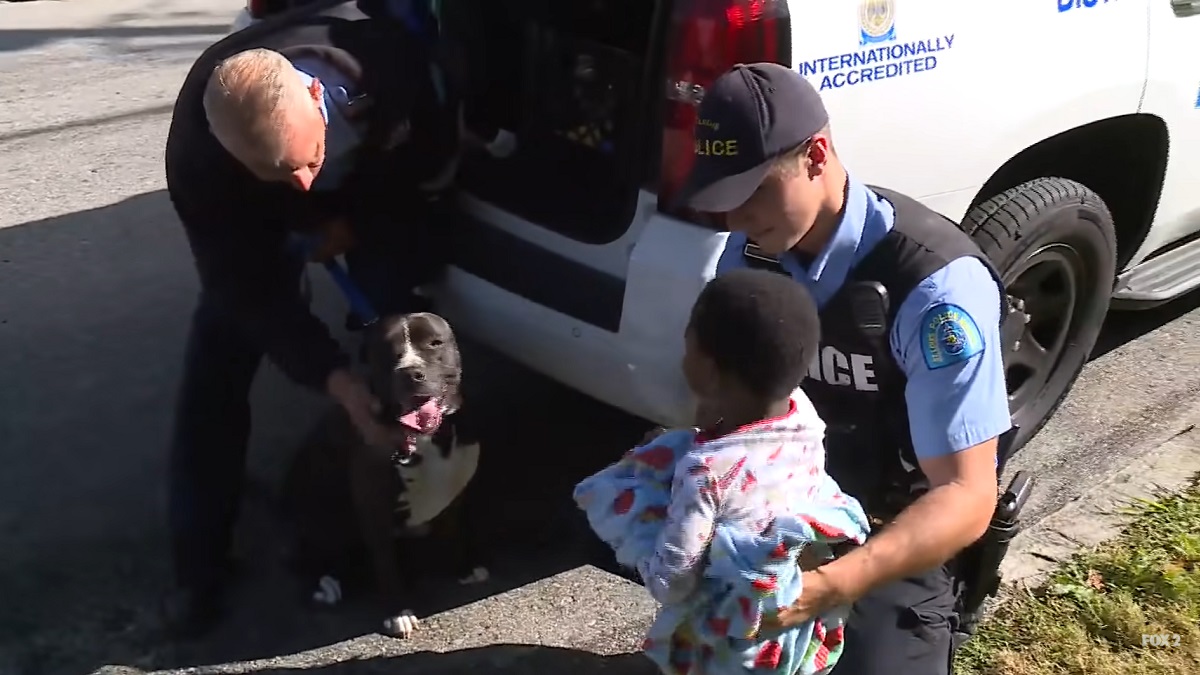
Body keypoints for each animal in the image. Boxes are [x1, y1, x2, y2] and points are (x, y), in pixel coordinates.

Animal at [280, 309, 487, 634]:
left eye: (434, 342)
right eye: (386, 351)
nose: (410, 372)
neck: (430, 438)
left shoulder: (457, 492)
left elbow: (454, 530)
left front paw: (464, 566)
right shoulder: (373, 506)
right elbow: (386, 564)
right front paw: (397, 611)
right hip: (316, 513)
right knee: (312, 554)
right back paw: (328, 581)